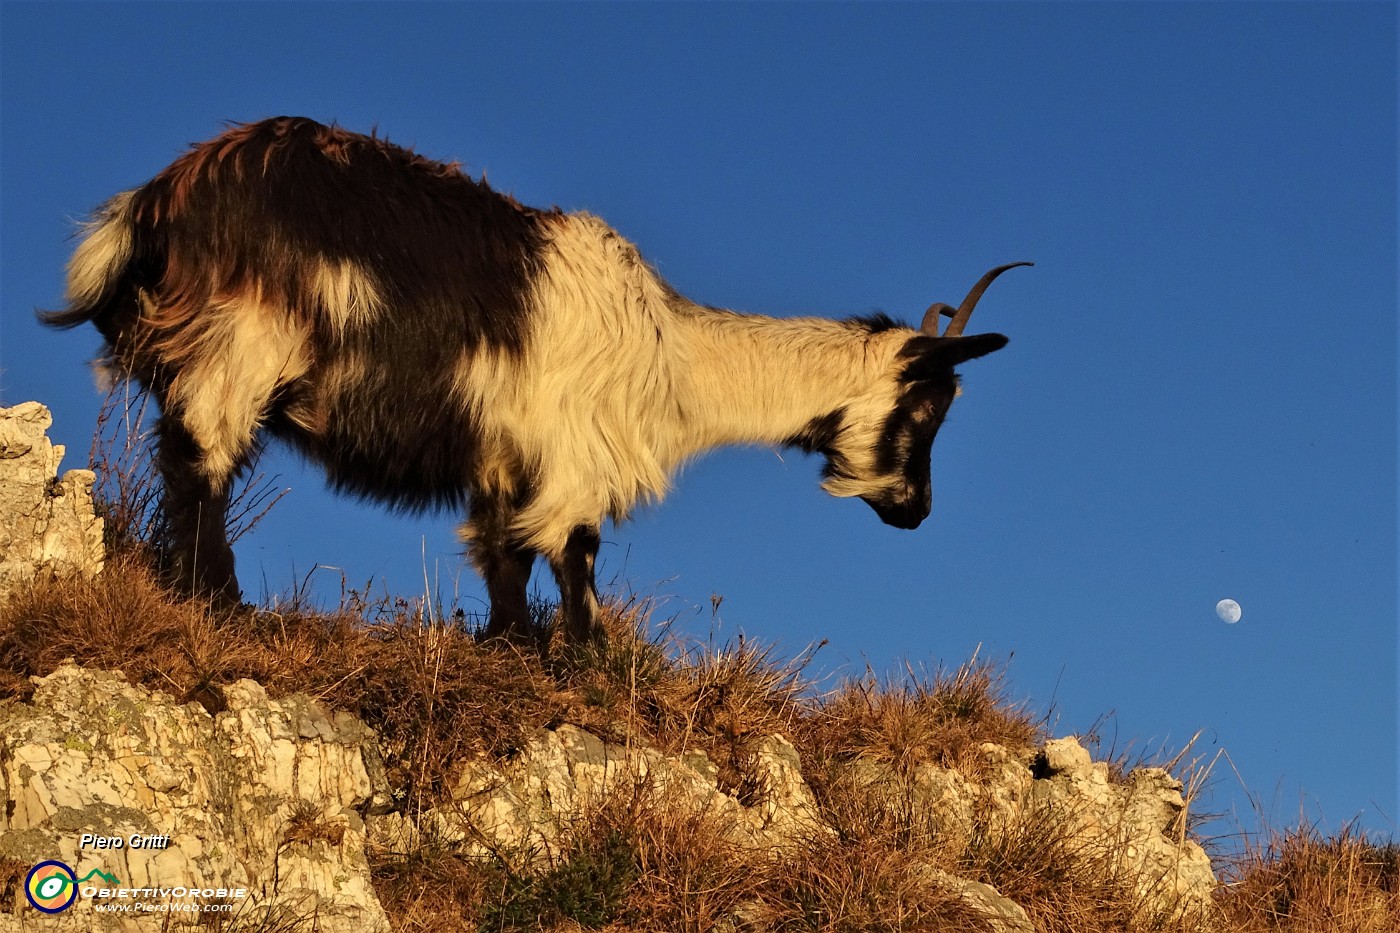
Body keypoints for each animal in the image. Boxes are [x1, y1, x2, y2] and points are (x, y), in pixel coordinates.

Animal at [46, 116, 1030, 647]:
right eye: (928, 406)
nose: (916, 511)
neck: (673, 354)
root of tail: (162, 198)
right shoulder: (575, 453)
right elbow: (575, 554)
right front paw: (585, 661)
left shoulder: (504, 456)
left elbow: (503, 554)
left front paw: (510, 644)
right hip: (239, 347)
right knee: (200, 461)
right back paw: (217, 599)